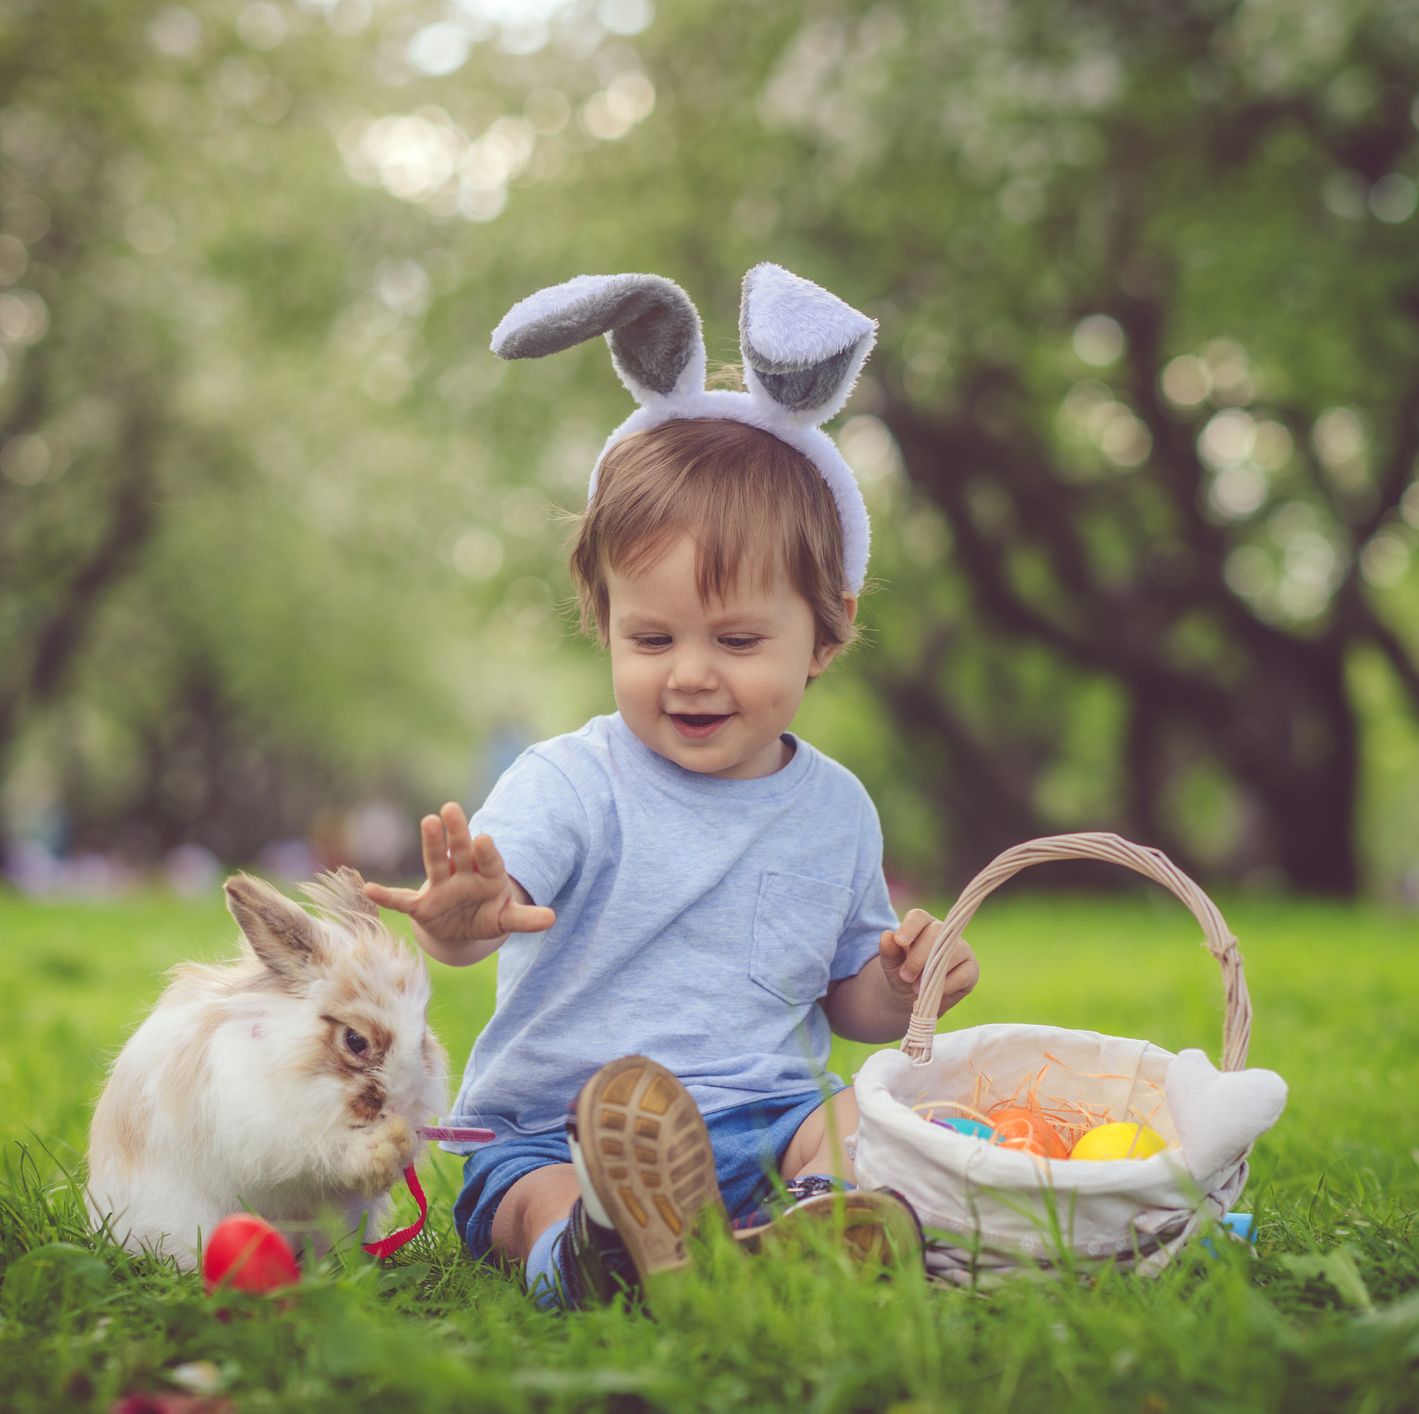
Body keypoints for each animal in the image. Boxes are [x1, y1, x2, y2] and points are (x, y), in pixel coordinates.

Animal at [85, 868, 448, 1266]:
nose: (400, 1104)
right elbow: (322, 1152)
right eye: (355, 1040)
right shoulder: (270, 1135)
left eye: (423, 1034)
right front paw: (382, 1149)